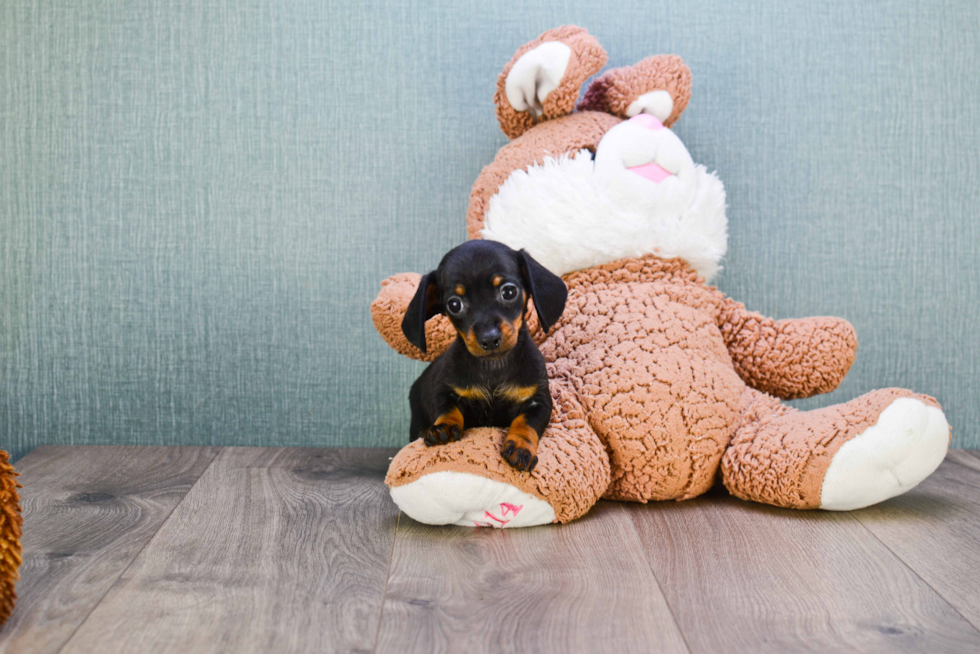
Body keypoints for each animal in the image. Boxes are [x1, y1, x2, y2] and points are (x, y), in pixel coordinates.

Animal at [398, 241, 568, 472]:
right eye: (454, 304)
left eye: (509, 291)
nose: (489, 338)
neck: (493, 368)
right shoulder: (445, 391)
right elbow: (447, 407)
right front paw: (444, 427)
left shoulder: (539, 402)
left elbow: (526, 422)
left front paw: (521, 446)